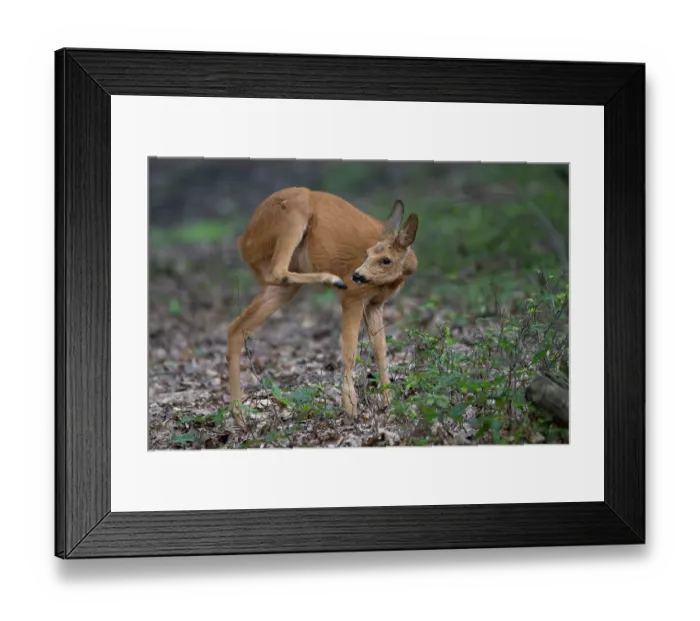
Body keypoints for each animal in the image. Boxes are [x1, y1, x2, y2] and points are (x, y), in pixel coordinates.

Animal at [226, 186, 419, 419]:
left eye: (386, 260)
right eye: (367, 253)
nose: (357, 275)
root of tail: (243, 242)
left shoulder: (375, 304)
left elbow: (381, 351)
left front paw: (390, 403)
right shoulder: (353, 297)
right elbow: (350, 351)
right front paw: (350, 407)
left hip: (284, 284)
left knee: (236, 328)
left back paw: (239, 416)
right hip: (294, 211)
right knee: (276, 272)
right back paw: (332, 279)